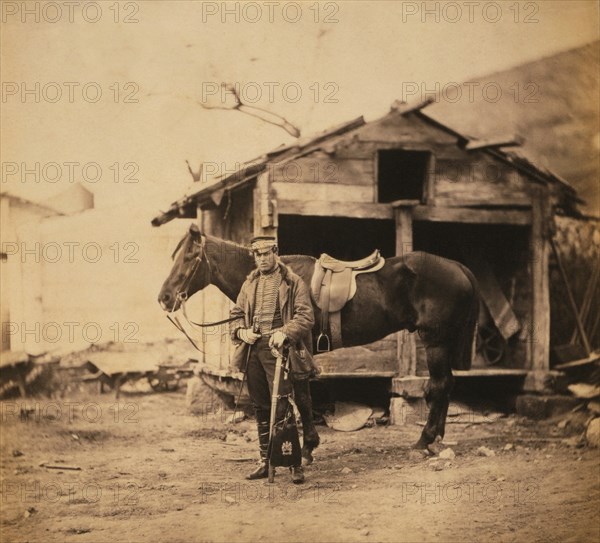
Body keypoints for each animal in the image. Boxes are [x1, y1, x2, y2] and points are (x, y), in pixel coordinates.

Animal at [158, 224, 478, 450]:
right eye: (173, 256)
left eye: (189, 257)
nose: (165, 298)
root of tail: (458, 267)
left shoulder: (297, 348)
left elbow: (301, 397)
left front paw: (308, 447)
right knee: (446, 384)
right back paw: (437, 438)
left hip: (435, 341)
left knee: (439, 385)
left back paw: (425, 440)